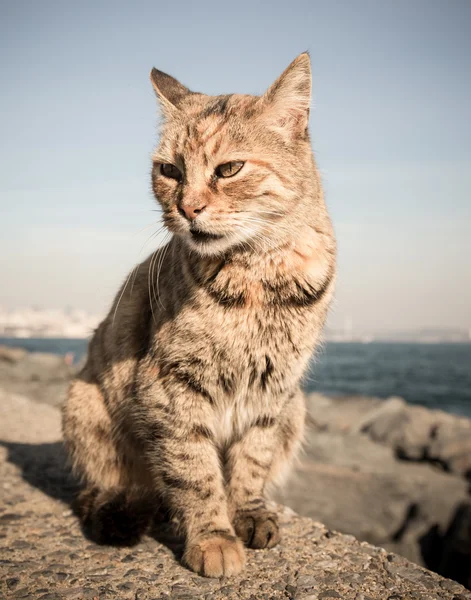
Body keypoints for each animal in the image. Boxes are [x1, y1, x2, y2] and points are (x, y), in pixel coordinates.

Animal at [61, 54, 336, 580]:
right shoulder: (170, 388)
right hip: (85, 405)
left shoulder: (274, 391)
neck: (260, 275)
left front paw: (247, 512)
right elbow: (195, 472)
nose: (186, 208)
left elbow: (252, 460)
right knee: (117, 486)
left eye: (229, 169)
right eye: (169, 170)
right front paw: (213, 537)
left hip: (296, 409)